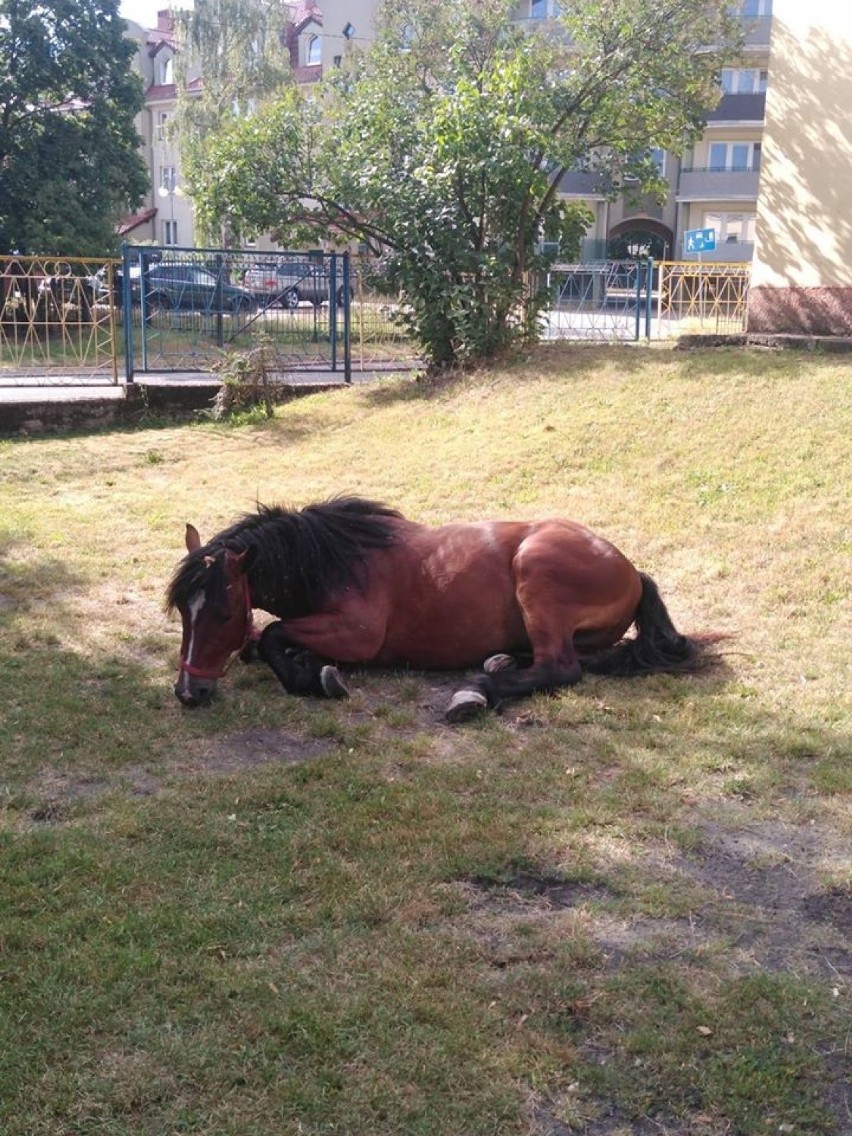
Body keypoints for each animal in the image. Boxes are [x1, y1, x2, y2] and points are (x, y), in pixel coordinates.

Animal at [164, 493, 708, 722]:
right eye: (184, 613)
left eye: (224, 613)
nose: (189, 693)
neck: (336, 559)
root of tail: (631, 571)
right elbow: (260, 641)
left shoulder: (358, 634)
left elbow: (275, 634)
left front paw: (315, 678)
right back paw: (499, 661)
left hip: (536, 569)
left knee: (562, 668)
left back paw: (475, 691)